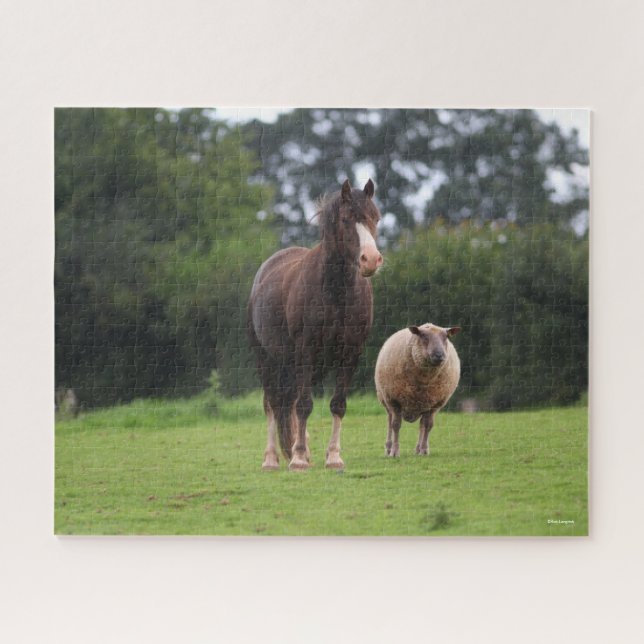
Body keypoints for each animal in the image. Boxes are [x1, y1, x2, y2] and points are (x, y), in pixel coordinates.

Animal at [247, 179, 383, 470]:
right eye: (346, 219)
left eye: (375, 218)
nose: (371, 259)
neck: (336, 293)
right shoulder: (306, 352)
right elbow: (304, 405)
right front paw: (298, 458)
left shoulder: (350, 355)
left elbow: (338, 404)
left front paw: (333, 457)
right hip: (267, 360)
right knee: (272, 403)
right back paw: (272, 458)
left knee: (287, 403)